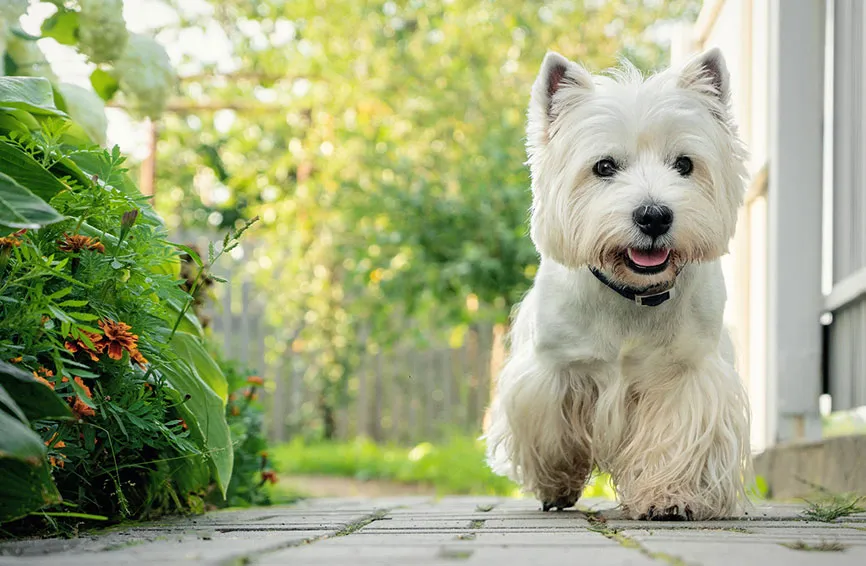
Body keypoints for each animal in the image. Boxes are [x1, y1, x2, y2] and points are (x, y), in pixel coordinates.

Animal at [486, 50, 748, 524]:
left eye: (684, 164)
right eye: (604, 166)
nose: (654, 215)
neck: (633, 294)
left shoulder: (687, 371)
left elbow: (676, 435)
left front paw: (669, 496)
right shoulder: (554, 370)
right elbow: (553, 432)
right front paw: (557, 481)